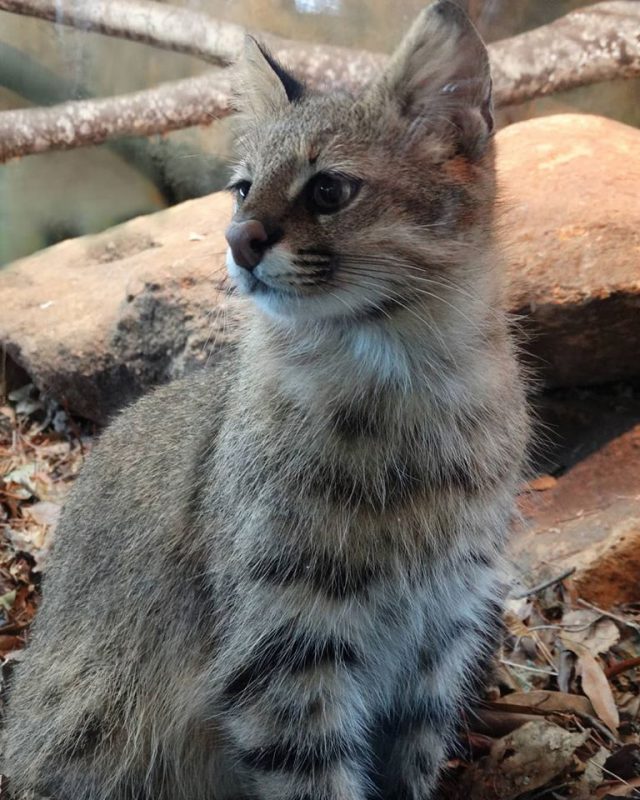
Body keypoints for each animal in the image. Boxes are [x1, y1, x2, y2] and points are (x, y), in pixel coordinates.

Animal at [2, 3, 528, 796]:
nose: (236, 239)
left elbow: (411, 762)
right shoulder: (286, 646)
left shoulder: (445, 622)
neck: (398, 371)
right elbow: (318, 777)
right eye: (242, 189)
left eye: (328, 190)